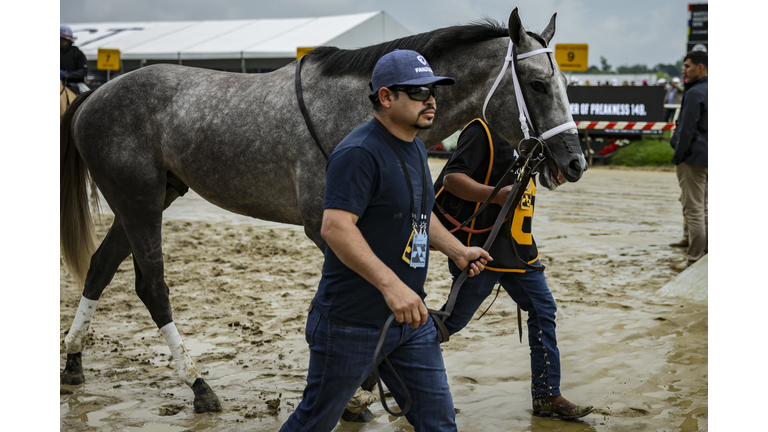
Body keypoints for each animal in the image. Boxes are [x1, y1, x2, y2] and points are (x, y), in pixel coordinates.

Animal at [61, 9, 588, 416]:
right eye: (538, 85)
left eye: (566, 82)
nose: (575, 162)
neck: (361, 109)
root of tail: (96, 95)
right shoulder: (327, 228)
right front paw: (361, 390)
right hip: (139, 200)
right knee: (151, 286)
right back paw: (199, 386)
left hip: (146, 199)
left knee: (100, 268)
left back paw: (74, 364)